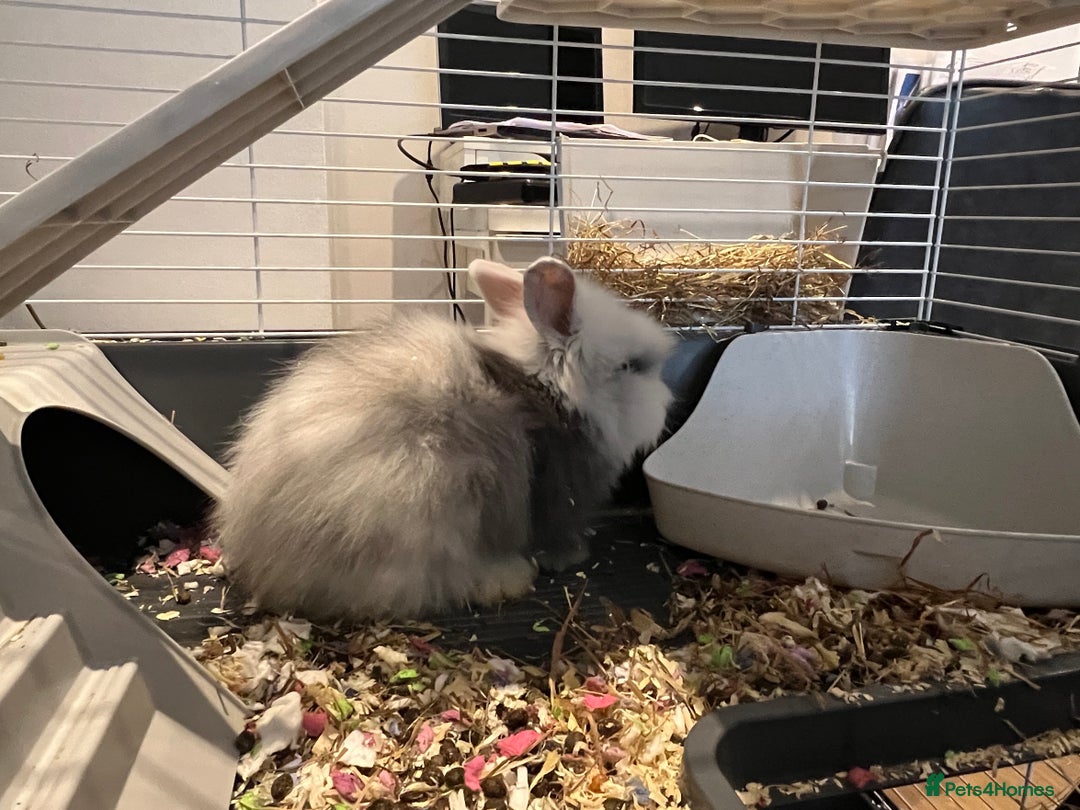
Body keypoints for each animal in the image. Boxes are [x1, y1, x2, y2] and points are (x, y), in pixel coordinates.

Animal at [212, 256, 674, 622]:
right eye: (630, 367)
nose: (668, 399)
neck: (554, 397)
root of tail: (265, 566)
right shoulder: (559, 496)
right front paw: (571, 557)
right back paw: (506, 577)